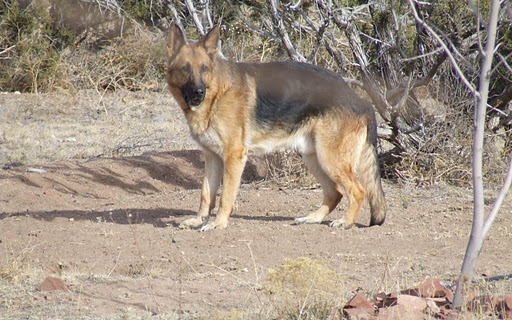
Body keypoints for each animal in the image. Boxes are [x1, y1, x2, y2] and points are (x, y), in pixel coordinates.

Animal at [166, 23, 386, 231]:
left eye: (204, 68)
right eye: (185, 68)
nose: (198, 92)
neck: (218, 93)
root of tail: (358, 99)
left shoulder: (234, 157)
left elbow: (225, 197)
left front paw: (218, 223)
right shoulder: (212, 158)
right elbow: (206, 195)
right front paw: (199, 220)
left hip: (330, 159)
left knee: (357, 191)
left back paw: (345, 222)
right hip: (313, 158)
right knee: (335, 192)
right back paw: (313, 218)